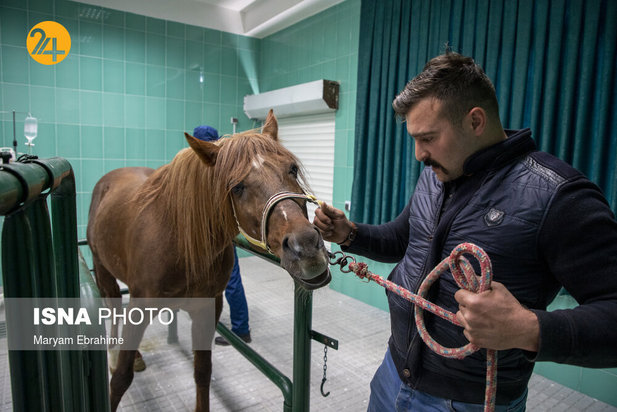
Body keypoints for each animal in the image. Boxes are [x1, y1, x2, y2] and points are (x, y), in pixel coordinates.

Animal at [85, 110, 332, 412]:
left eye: (292, 169)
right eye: (237, 187)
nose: (306, 248)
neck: (179, 242)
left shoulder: (206, 310)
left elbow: (203, 372)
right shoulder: (139, 307)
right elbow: (121, 378)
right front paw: (119, 367)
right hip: (103, 271)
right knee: (112, 307)